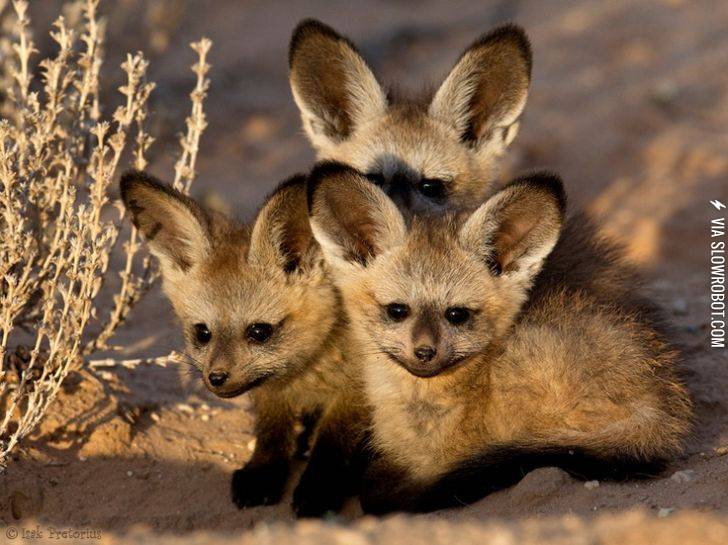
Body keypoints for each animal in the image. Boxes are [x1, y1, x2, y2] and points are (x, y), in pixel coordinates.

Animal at [120, 171, 367, 517]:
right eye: (202, 333)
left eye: (259, 332)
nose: (216, 378)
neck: (307, 374)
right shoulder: (270, 392)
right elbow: (271, 433)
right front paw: (262, 474)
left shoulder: (354, 393)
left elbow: (332, 445)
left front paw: (319, 488)